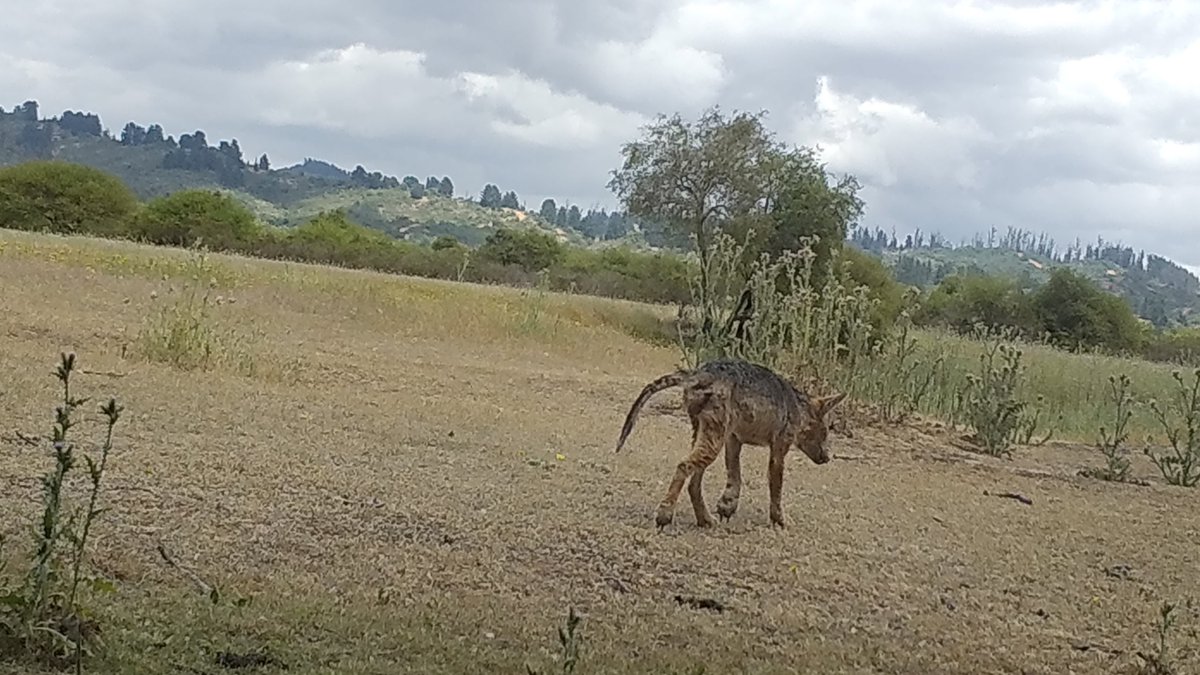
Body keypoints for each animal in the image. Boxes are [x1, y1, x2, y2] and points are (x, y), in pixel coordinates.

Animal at [615, 358, 847, 530]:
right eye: (826, 432)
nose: (828, 458)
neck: (797, 405)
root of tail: (701, 372)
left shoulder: (733, 440)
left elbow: (735, 477)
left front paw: (727, 505)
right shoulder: (778, 450)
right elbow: (776, 490)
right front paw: (780, 520)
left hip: (706, 436)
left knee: (693, 482)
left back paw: (705, 519)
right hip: (712, 442)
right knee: (683, 467)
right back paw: (665, 514)